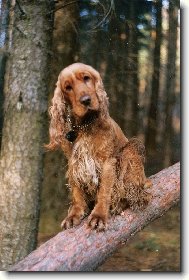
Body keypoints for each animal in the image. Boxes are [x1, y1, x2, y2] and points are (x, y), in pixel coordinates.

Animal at [45, 62, 151, 231]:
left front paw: (99, 215)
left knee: (137, 194)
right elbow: (76, 191)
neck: (84, 125)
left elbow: (104, 191)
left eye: (86, 78)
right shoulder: (74, 162)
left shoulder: (107, 162)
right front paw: (74, 214)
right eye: (68, 87)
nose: (86, 100)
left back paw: (121, 204)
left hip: (130, 150)